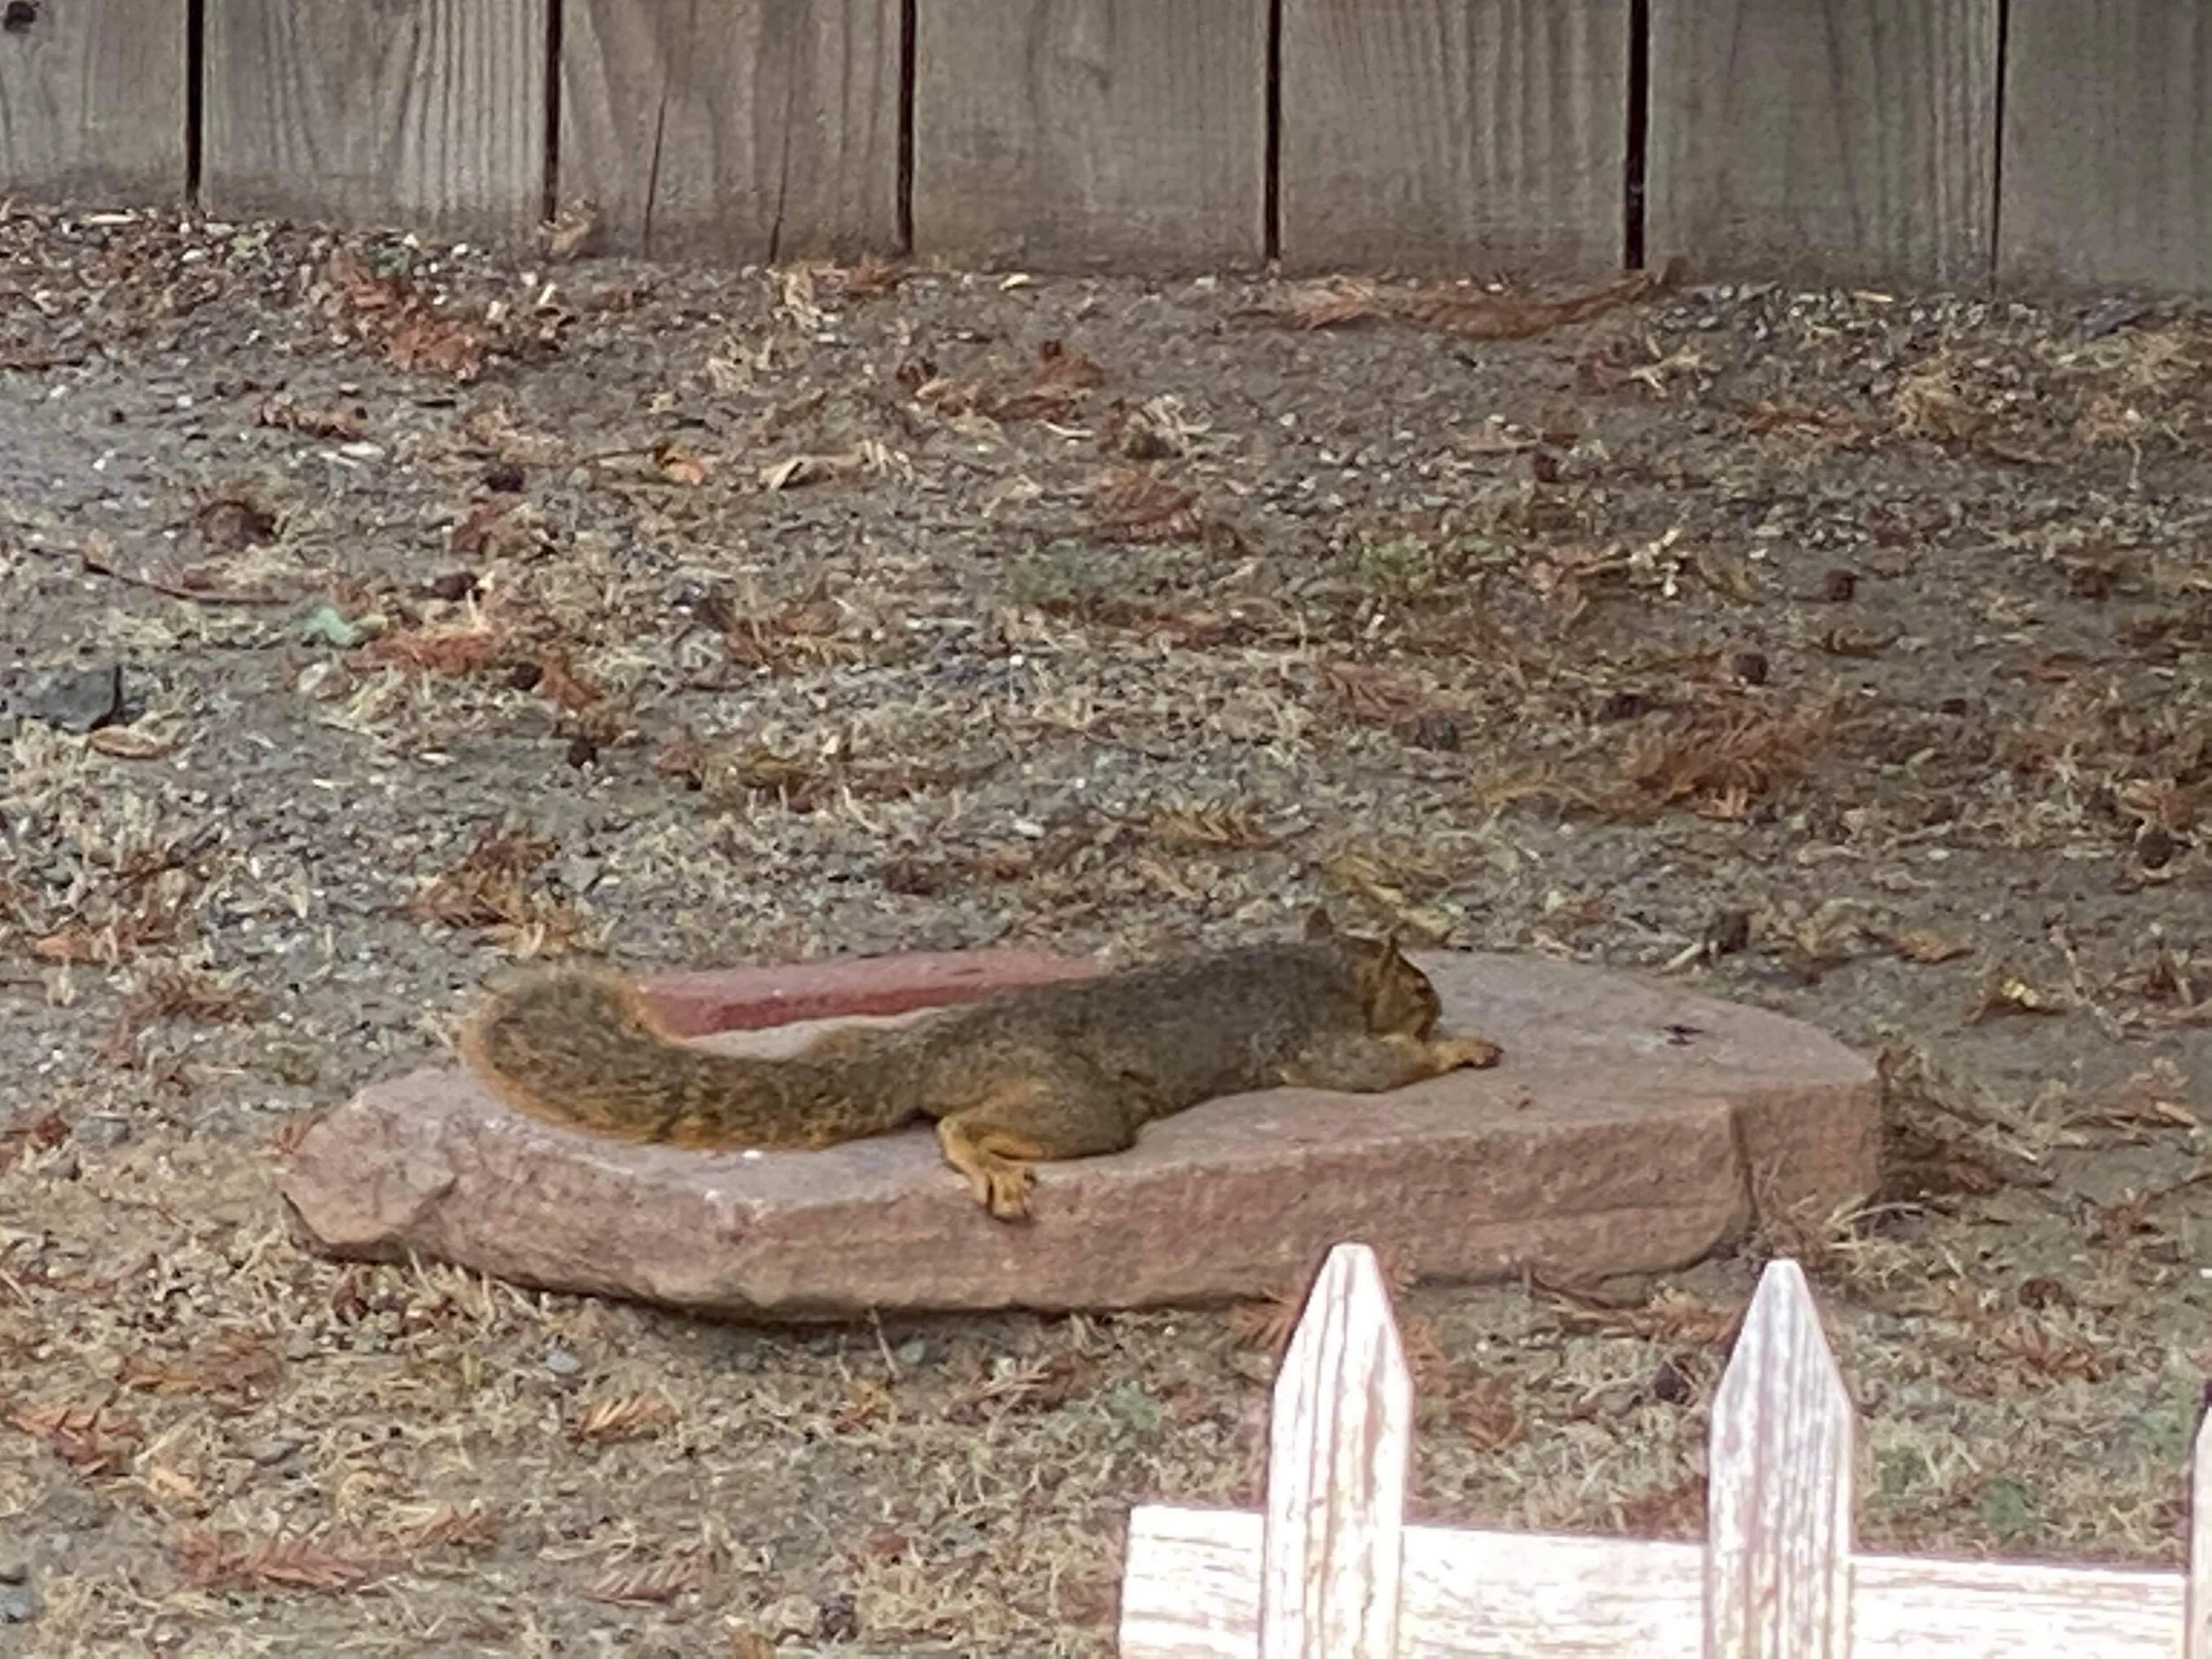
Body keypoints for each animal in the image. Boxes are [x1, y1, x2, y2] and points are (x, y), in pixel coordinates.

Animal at [458, 910, 1503, 1220]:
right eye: (1417, 984)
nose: (1440, 1002)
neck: (1318, 966)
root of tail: (929, 1048)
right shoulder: (1311, 1034)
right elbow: (1371, 1071)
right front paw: (1458, 1047)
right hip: (1081, 1104)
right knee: (964, 1124)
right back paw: (990, 1169)